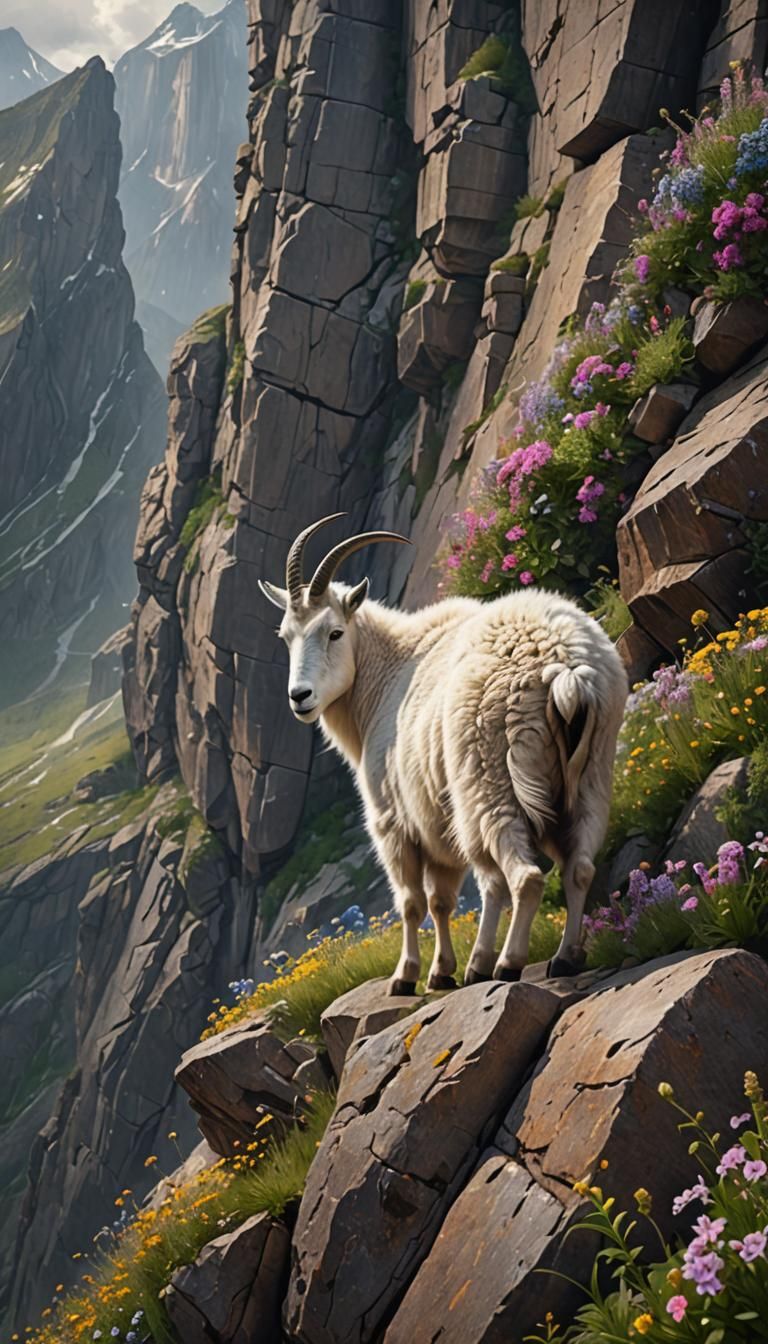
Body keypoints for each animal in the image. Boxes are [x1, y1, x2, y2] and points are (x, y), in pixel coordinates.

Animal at [259, 515, 628, 994]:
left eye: (334, 632)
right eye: (286, 636)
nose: (299, 697)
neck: (386, 675)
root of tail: (564, 670)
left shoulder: (394, 822)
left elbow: (415, 902)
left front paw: (408, 975)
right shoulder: (437, 823)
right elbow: (444, 899)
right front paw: (443, 970)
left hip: (490, 783)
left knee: (521, 877)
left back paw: (505, 963)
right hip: (589, 775)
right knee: (577, 866)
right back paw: (564, 956)